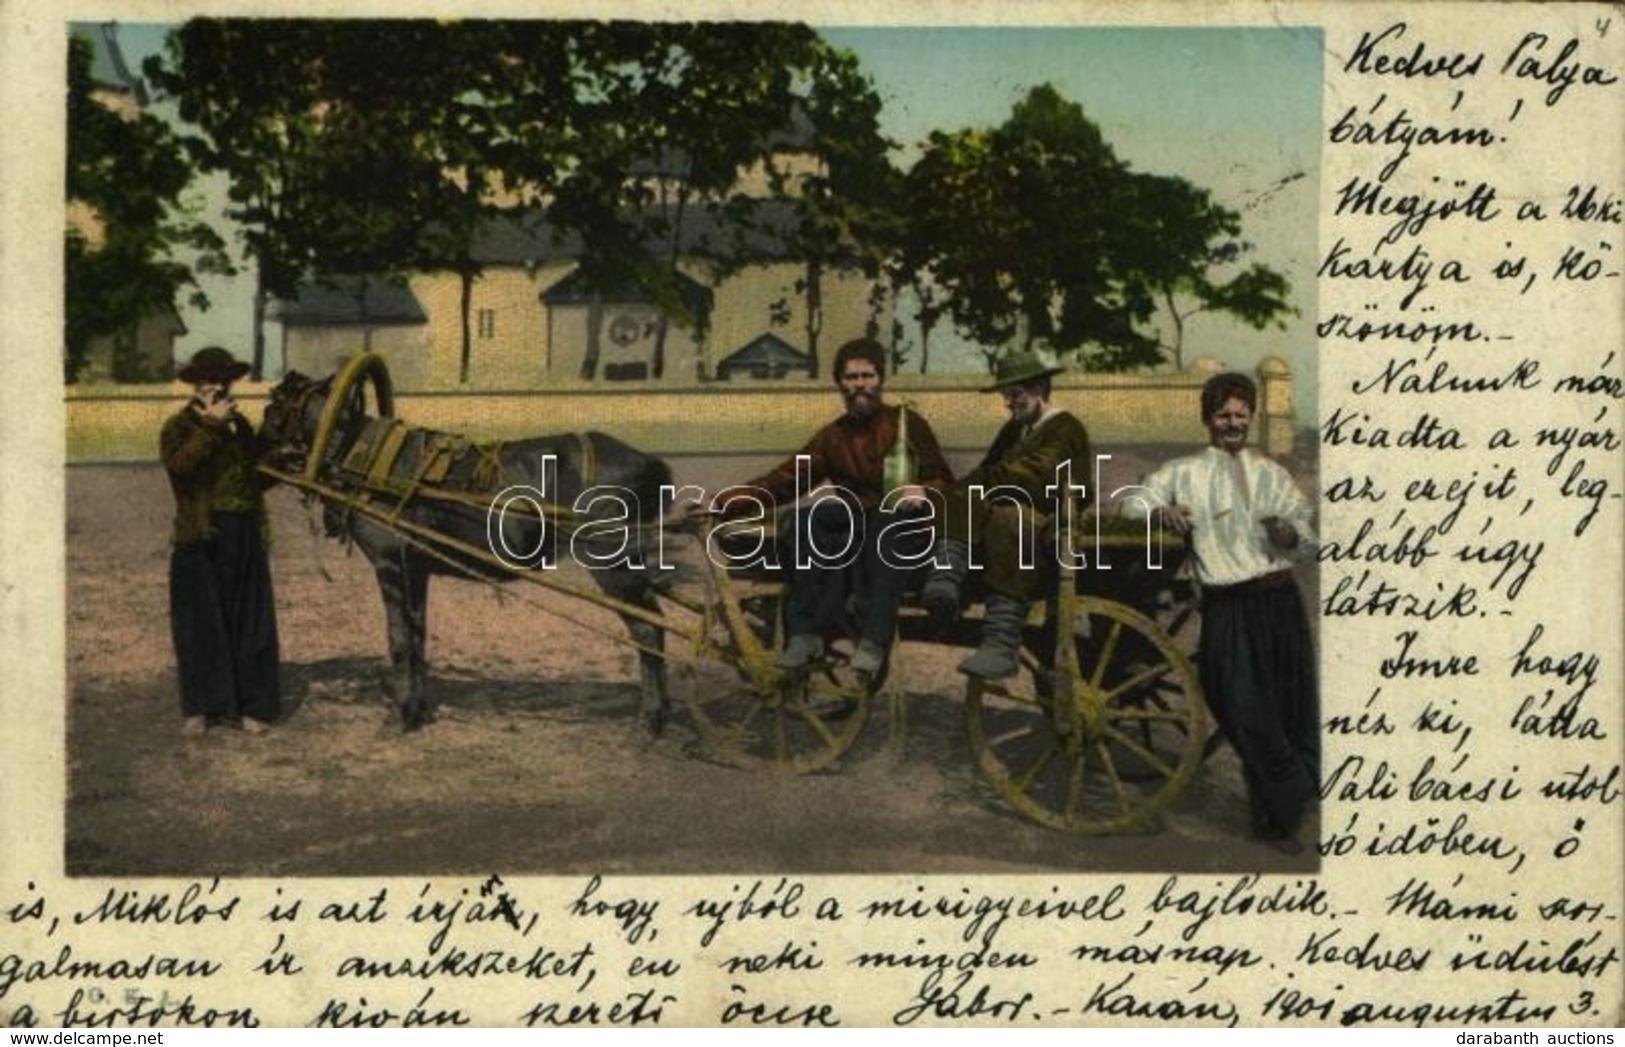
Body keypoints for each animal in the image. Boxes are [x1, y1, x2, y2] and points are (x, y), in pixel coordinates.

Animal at [258, 362, 672, 734]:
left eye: (272, 412)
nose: (253, 461)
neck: (364, 456)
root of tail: (651, 462)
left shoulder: (390, 564)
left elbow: (398, 637)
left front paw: (399, 716)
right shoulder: (416, 568)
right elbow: (417, 634)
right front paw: (416, 709)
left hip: (611, 564)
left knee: (648, 629)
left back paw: (649, 720)